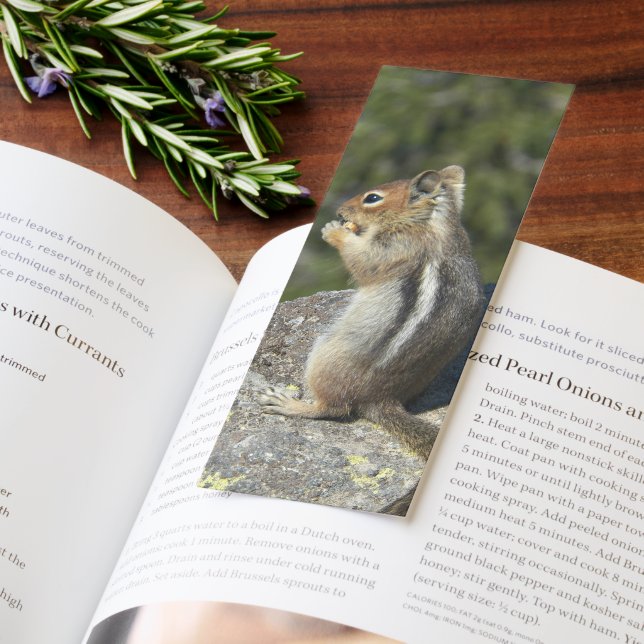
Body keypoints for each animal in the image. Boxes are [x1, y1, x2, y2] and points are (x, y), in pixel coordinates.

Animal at [260, 166, 484, 459]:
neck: (432, 224)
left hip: (322, 356)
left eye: (373, 198)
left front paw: (335, 232)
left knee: (333, 409)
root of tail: (378, 399)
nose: (340, 212)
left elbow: (362, 261)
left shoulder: (393, 246)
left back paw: (288, 404)